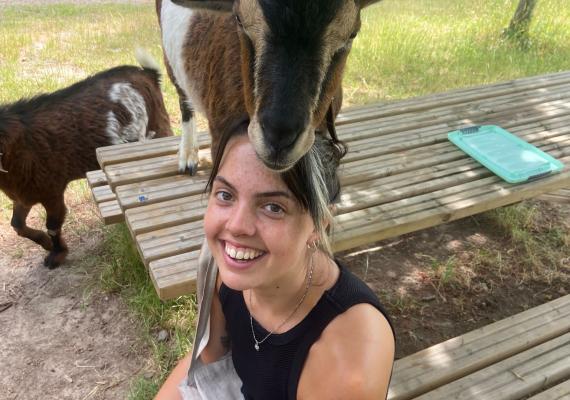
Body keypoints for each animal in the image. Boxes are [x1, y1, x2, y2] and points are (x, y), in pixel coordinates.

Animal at [0, 51, 173, 268]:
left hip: (158, 127)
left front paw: (57, 253)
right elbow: (17, 225)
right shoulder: (25, 194)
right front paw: (46, 244)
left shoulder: (52, 191)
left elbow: (52, 225)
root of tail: (148, 74)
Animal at [155, 0, 380, 173]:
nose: (279, 137)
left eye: (352, 34)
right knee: (184, 101)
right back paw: (188, 157)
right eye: (239, 19)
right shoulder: (221, 136)